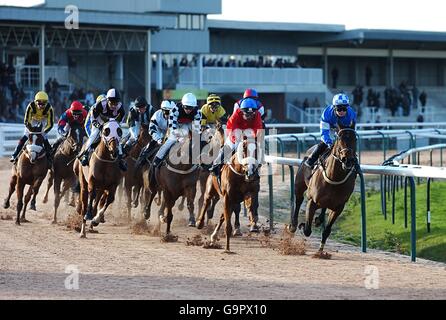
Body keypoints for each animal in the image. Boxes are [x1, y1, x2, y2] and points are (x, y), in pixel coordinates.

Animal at [288, 125, 358, 255]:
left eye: (355, 138)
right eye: (339, 138)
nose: (348, 160)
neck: (334, 177)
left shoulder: (339, 207)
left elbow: (327, 230)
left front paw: (320, 251)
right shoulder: (311, 201)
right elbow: (307, 229)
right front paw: (302, 225)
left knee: (323, 207)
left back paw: (318, 220)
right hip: (299, 185)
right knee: (299, 200)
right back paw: (293, 225)